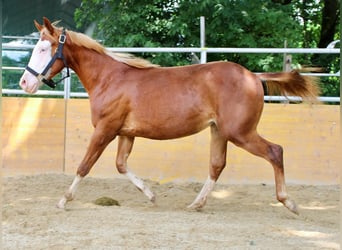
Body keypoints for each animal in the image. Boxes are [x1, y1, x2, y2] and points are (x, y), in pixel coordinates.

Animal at [19, 17, 320, 214]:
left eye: (44, 48)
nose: (24, 82)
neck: (110, 78)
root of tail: (254, 76)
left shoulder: (105, 129)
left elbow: (85, 165)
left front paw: (63, 200)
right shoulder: (126, 133)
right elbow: (121, 165)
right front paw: (152, 196)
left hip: (240, 133)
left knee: (275, 151)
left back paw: (290, 203)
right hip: (219, 131)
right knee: (217, 165)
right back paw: (196, 204)